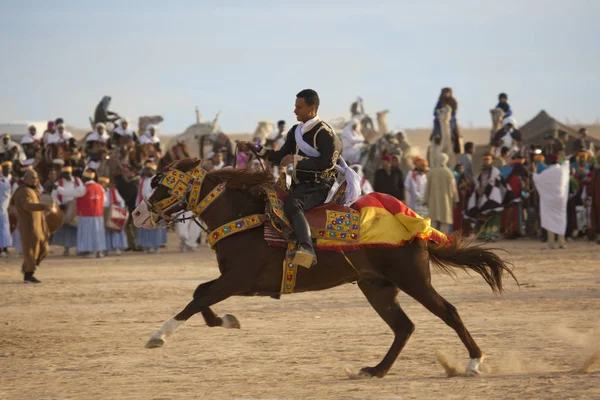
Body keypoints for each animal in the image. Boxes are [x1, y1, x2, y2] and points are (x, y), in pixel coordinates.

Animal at [134, 158, 516, 380]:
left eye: (163, 185)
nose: (137, 214)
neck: (246, 218)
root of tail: (417, 226)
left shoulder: (238, 279)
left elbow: (196, 300)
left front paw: (159, 335)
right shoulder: (235, 281)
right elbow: (200, 294)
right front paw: (226, 321)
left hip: (412, 280)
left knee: (448, 312)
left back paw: (473, 362)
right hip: (376, 286)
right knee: (404, 327)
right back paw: (376, 370)